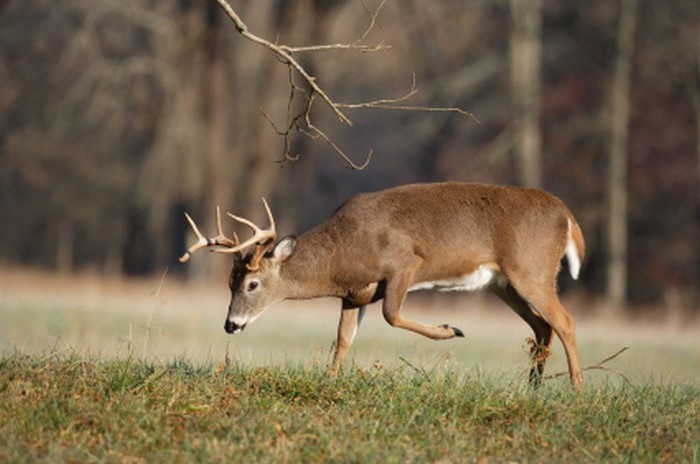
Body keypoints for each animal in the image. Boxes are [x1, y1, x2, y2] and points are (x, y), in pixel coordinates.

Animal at [180, 183, 584, 386]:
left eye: (251, 284)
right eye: (228, 283)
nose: (231, 325)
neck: (342, 253)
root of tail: (567, 216)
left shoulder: (404, 264)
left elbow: (392, 315)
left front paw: (451, 329)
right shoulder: (354, 295)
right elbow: (343, 339)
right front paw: (329, 381)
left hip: (531, 269)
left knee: (564, 321)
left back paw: (576, 389)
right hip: (504, 284)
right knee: (542, 326)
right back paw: (533, 387)